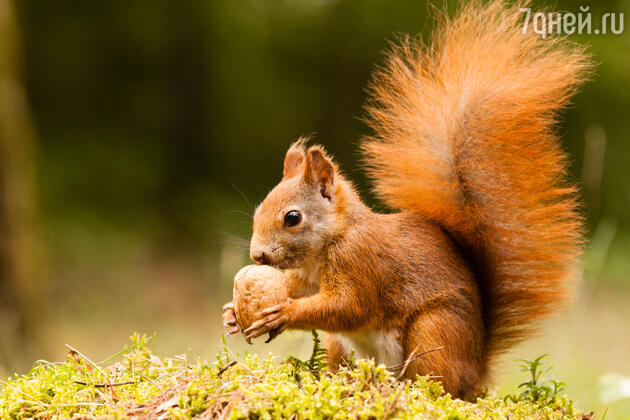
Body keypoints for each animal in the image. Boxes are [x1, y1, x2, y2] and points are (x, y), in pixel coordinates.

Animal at [222, 0, 592, 398]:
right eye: (258, 210)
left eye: (292, 218)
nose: (257, 255)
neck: (329, 243)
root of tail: (477, 370)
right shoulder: (305, 278)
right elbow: (296, 290)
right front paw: (232, 313)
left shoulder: (362, 263)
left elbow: (348, 307)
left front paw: (285, 313)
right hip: (344, 346)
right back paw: (343, 382)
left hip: (434, 330)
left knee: (436, 382)